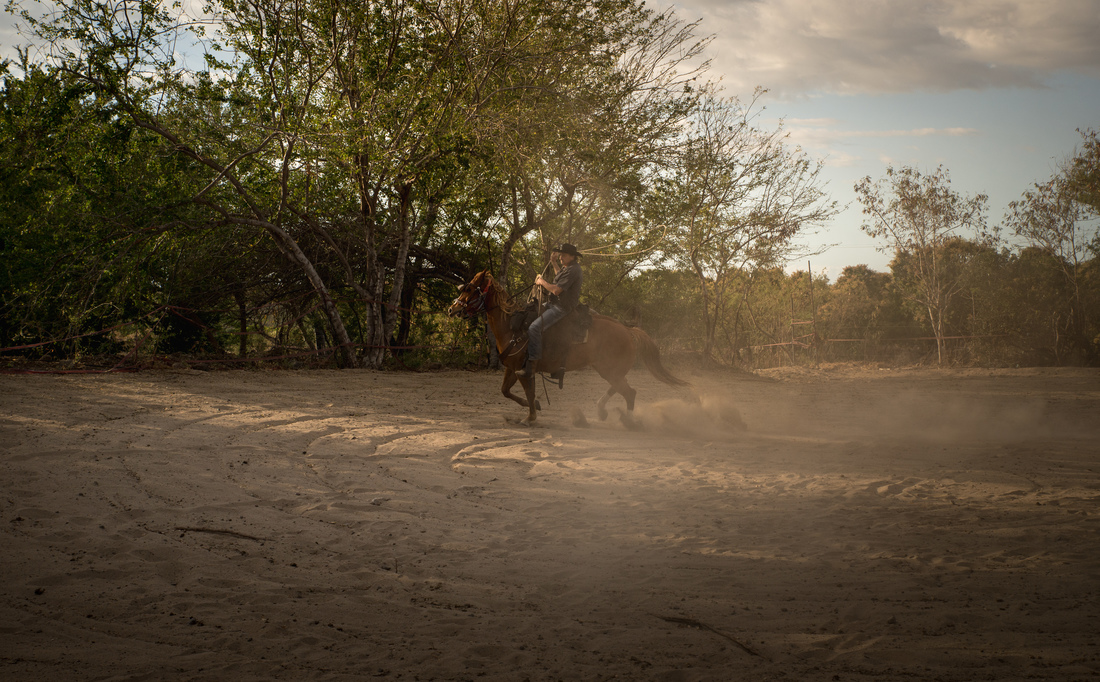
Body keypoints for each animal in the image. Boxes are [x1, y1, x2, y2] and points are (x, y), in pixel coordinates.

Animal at [446, 270, 686, 420]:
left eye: (469, 289)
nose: (451, 309)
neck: (513, 325)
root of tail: (628, 330)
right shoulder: (512, 368)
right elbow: (506, 391)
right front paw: (536, 408)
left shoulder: (524, 369)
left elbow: (529, 393)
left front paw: (531, 417)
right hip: (609, 369)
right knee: (622, 389)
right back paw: (602, 411)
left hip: (610, 370)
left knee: (629, 393)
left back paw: (628, 421)